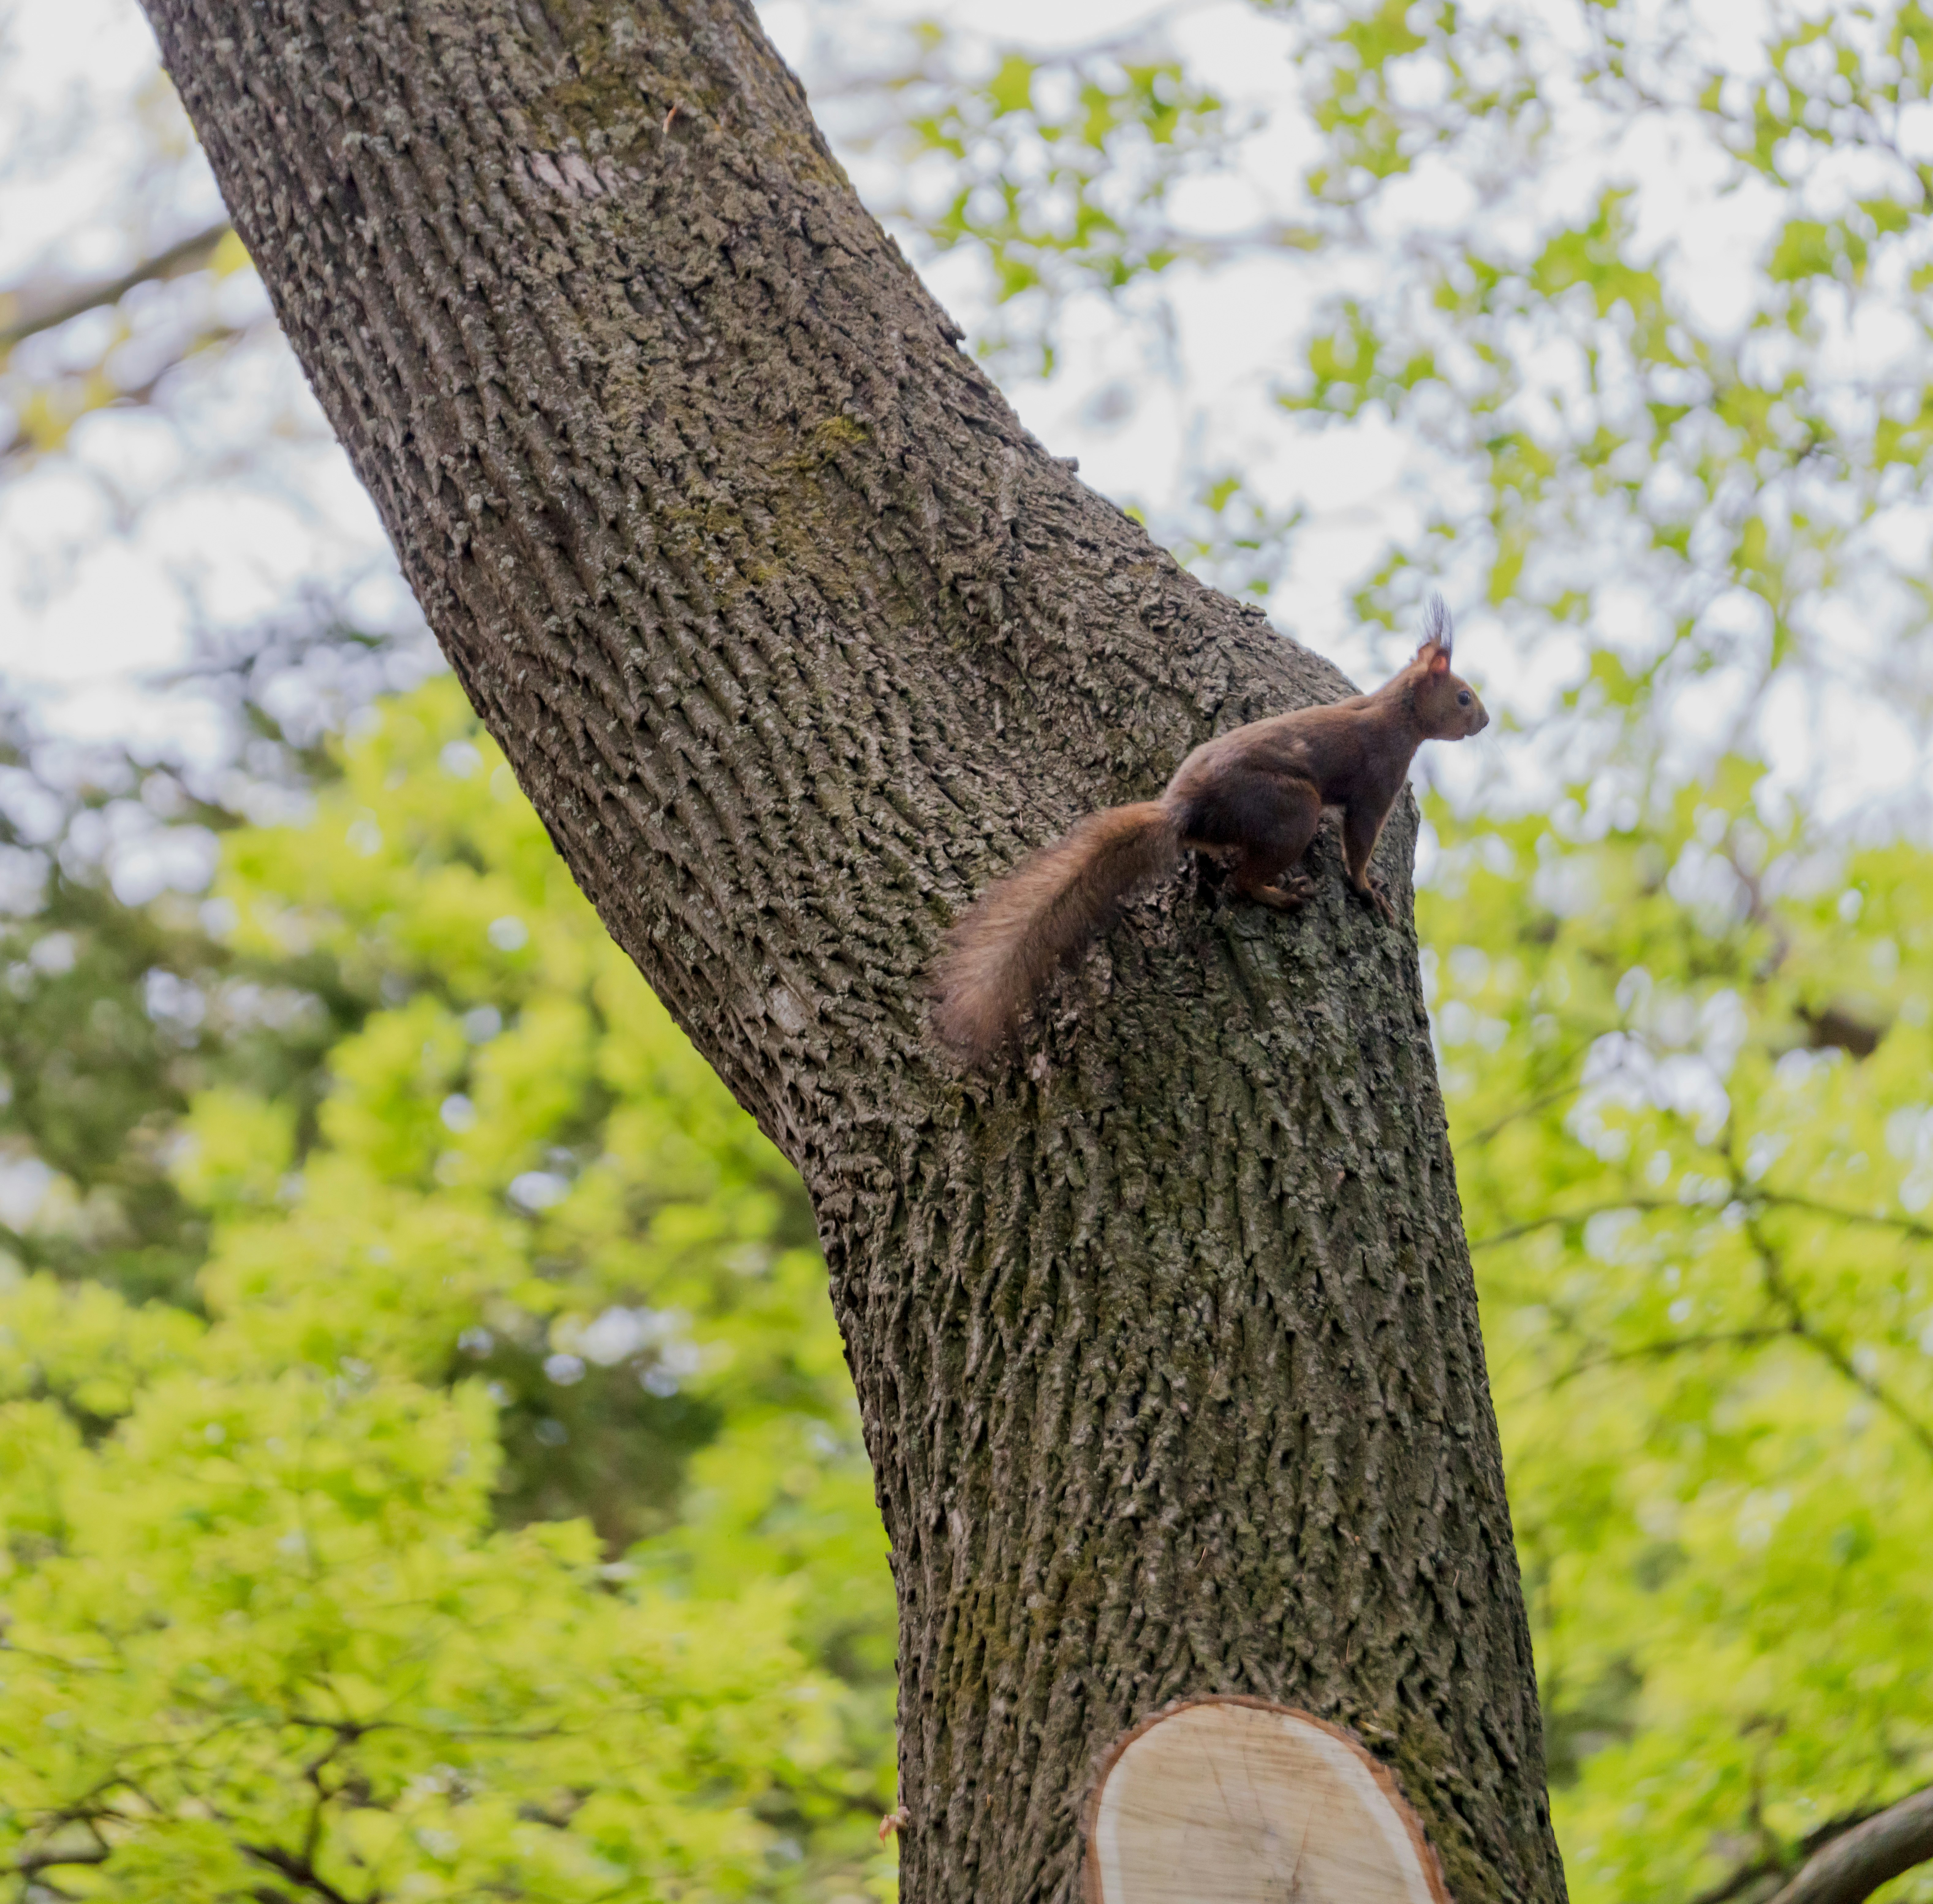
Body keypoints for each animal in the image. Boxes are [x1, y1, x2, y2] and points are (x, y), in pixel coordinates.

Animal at [932, 594, 1488, 1068]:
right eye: (1463, 697)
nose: (1483, 721)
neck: (1395, 711)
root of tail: (1184, 811)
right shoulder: (1377, 783)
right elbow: (1359, 842)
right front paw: (1368, 889)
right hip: (1293, 809)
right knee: (1241, 883)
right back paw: (1281, 895)